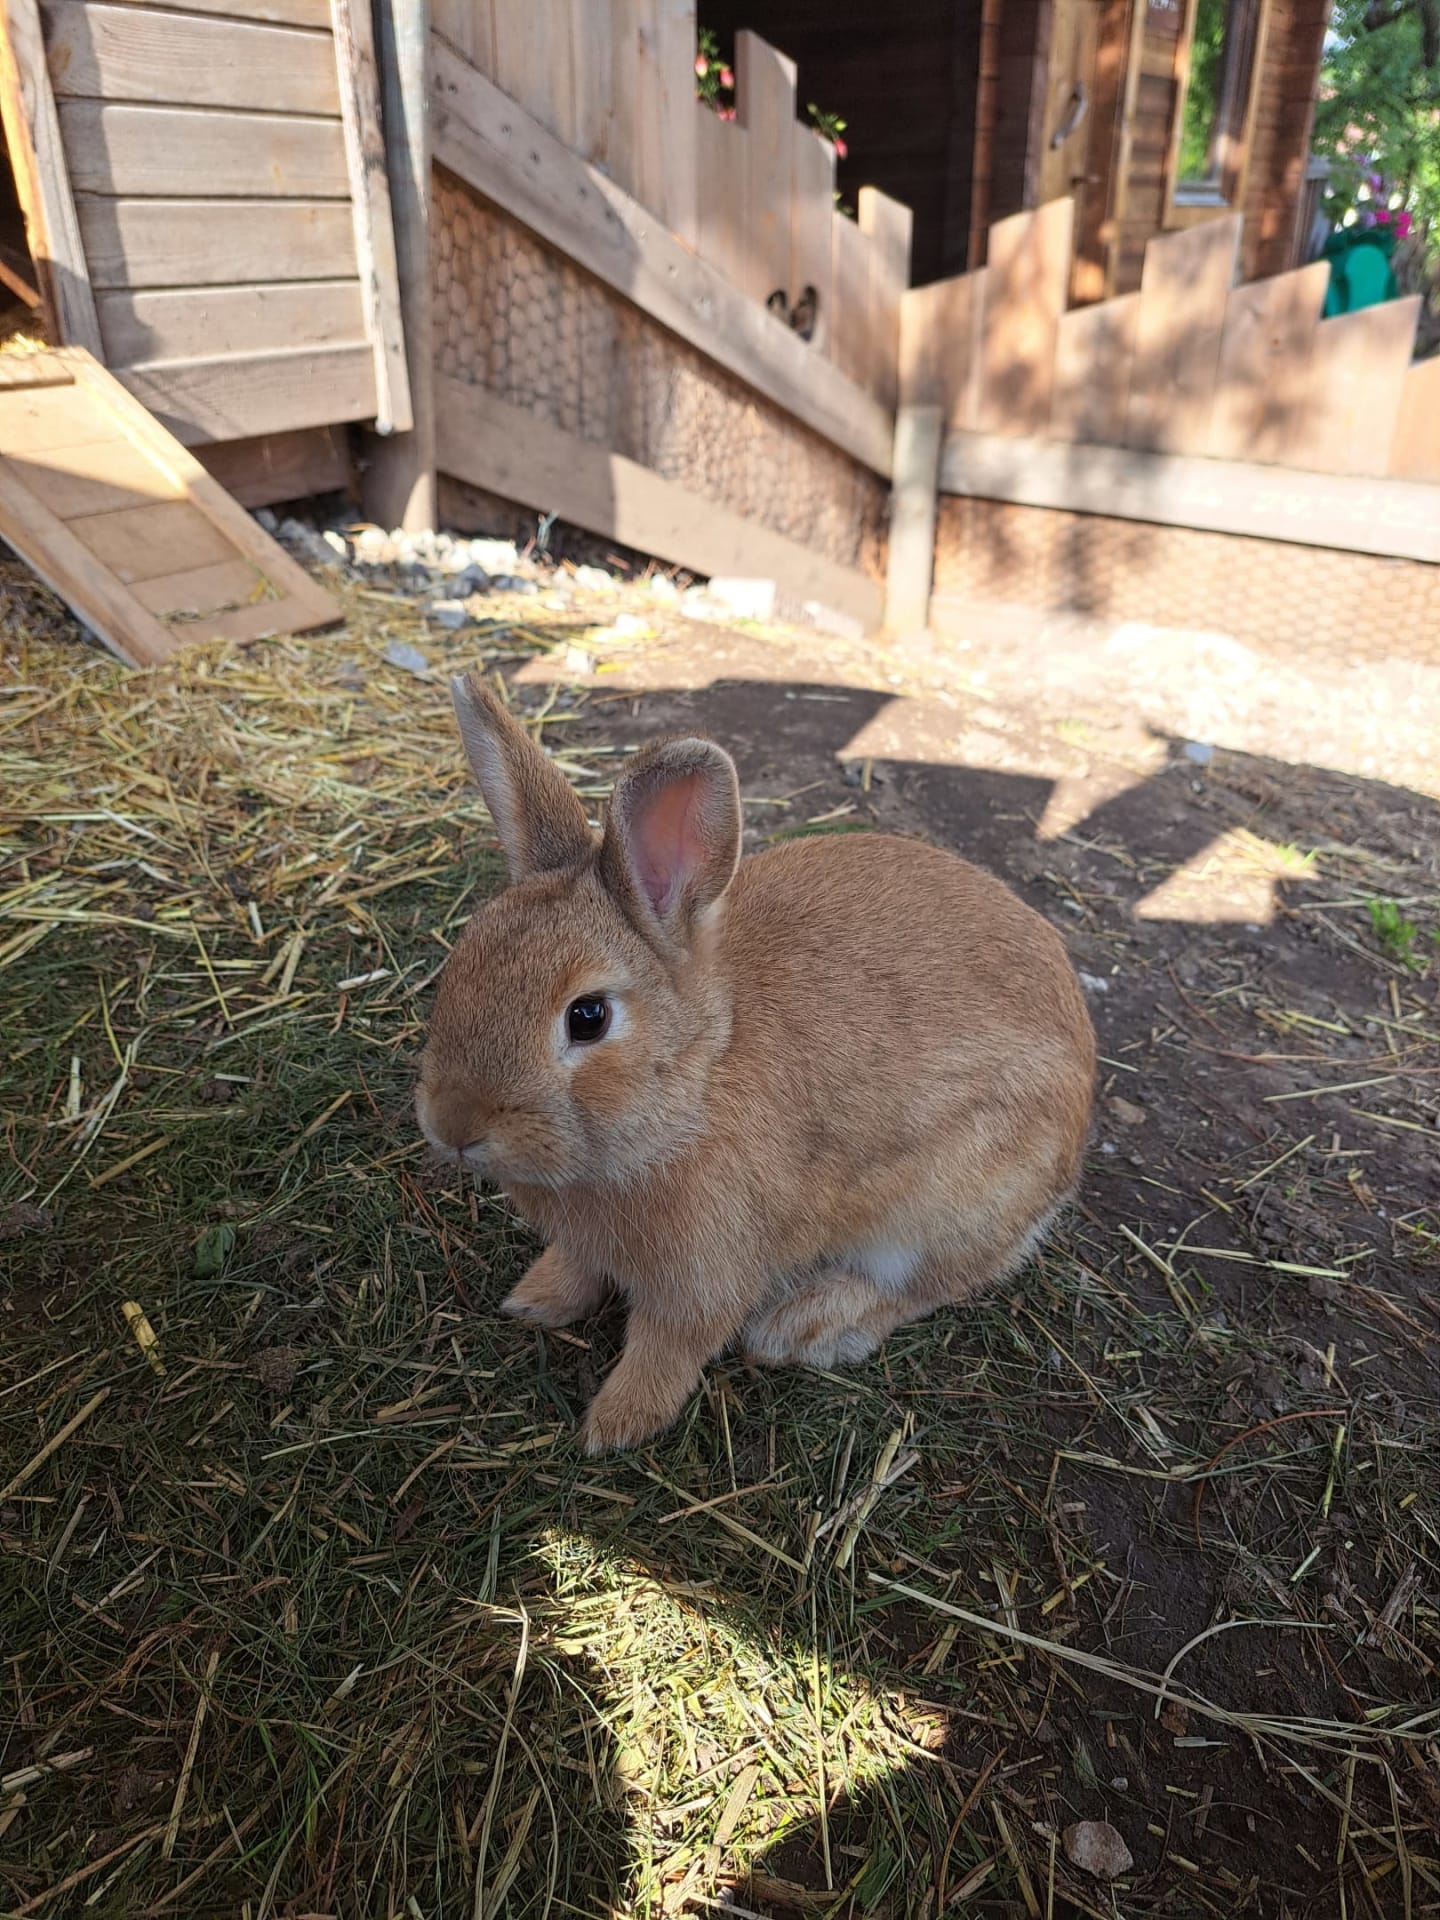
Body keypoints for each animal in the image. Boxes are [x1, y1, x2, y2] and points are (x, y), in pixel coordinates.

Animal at [417, 675, 1096, 1455]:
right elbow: (579, 1271)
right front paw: (534, 1301)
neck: (697, 1084)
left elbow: (667, 1349)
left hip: (950, 1204)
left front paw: (615, 1427)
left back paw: (804, 1328)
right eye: (461, 963)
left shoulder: (704, 1278)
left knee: (927, 1285)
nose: (451, 1126)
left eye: (588, 1018)